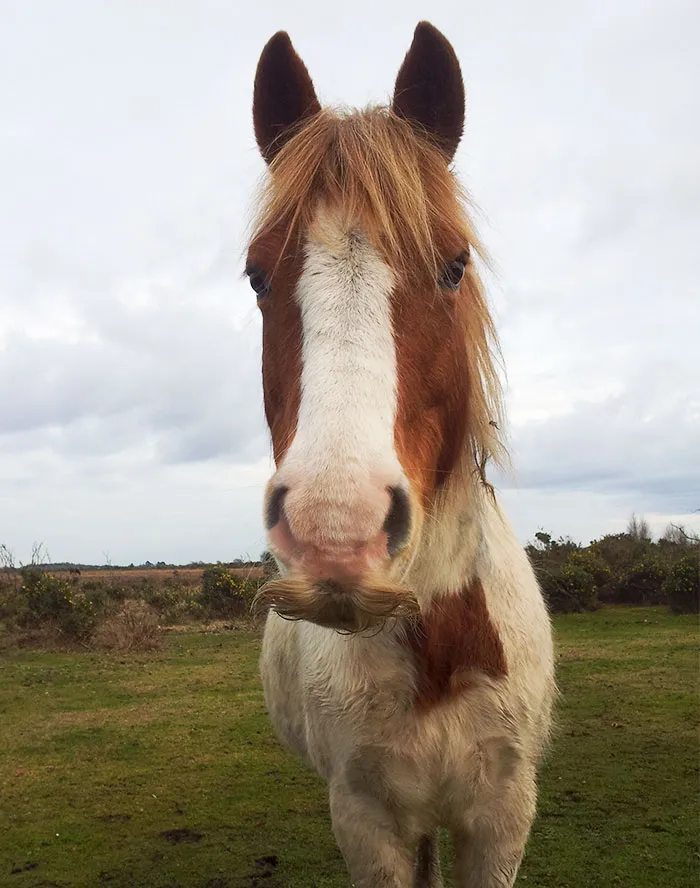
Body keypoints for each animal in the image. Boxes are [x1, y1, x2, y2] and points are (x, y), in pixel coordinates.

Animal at [247, 22, 555, 888]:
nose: (336, 530)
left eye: (453, 265)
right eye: (255, 276)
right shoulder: (367, 820)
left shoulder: (502, 819)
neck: (439, 644)